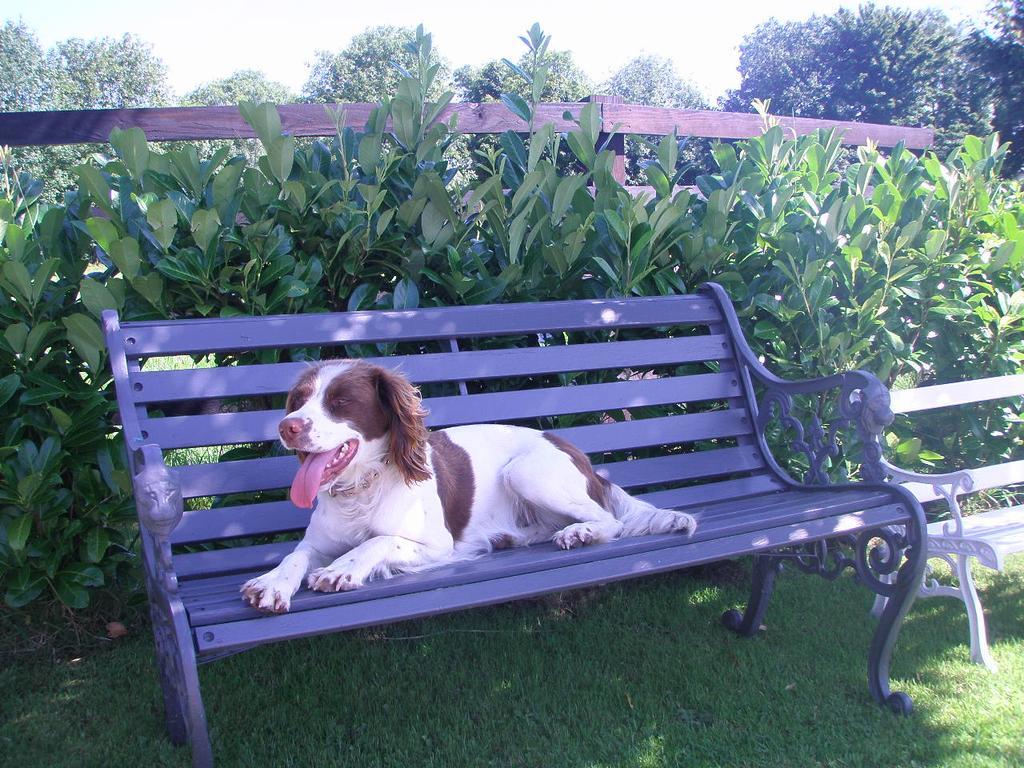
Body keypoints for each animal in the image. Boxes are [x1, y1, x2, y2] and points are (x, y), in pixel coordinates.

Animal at [241, 360, 696, 614]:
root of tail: (578, 454)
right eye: (299, 400)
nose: (286, 426)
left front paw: (340, 570)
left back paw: (581, 532)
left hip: (525, 472)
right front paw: (271, 584)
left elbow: (377, 541)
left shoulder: (437, 545)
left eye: (340, 402)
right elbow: (295, 557)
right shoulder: (317, 542)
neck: (363, 488)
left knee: (608, 520)